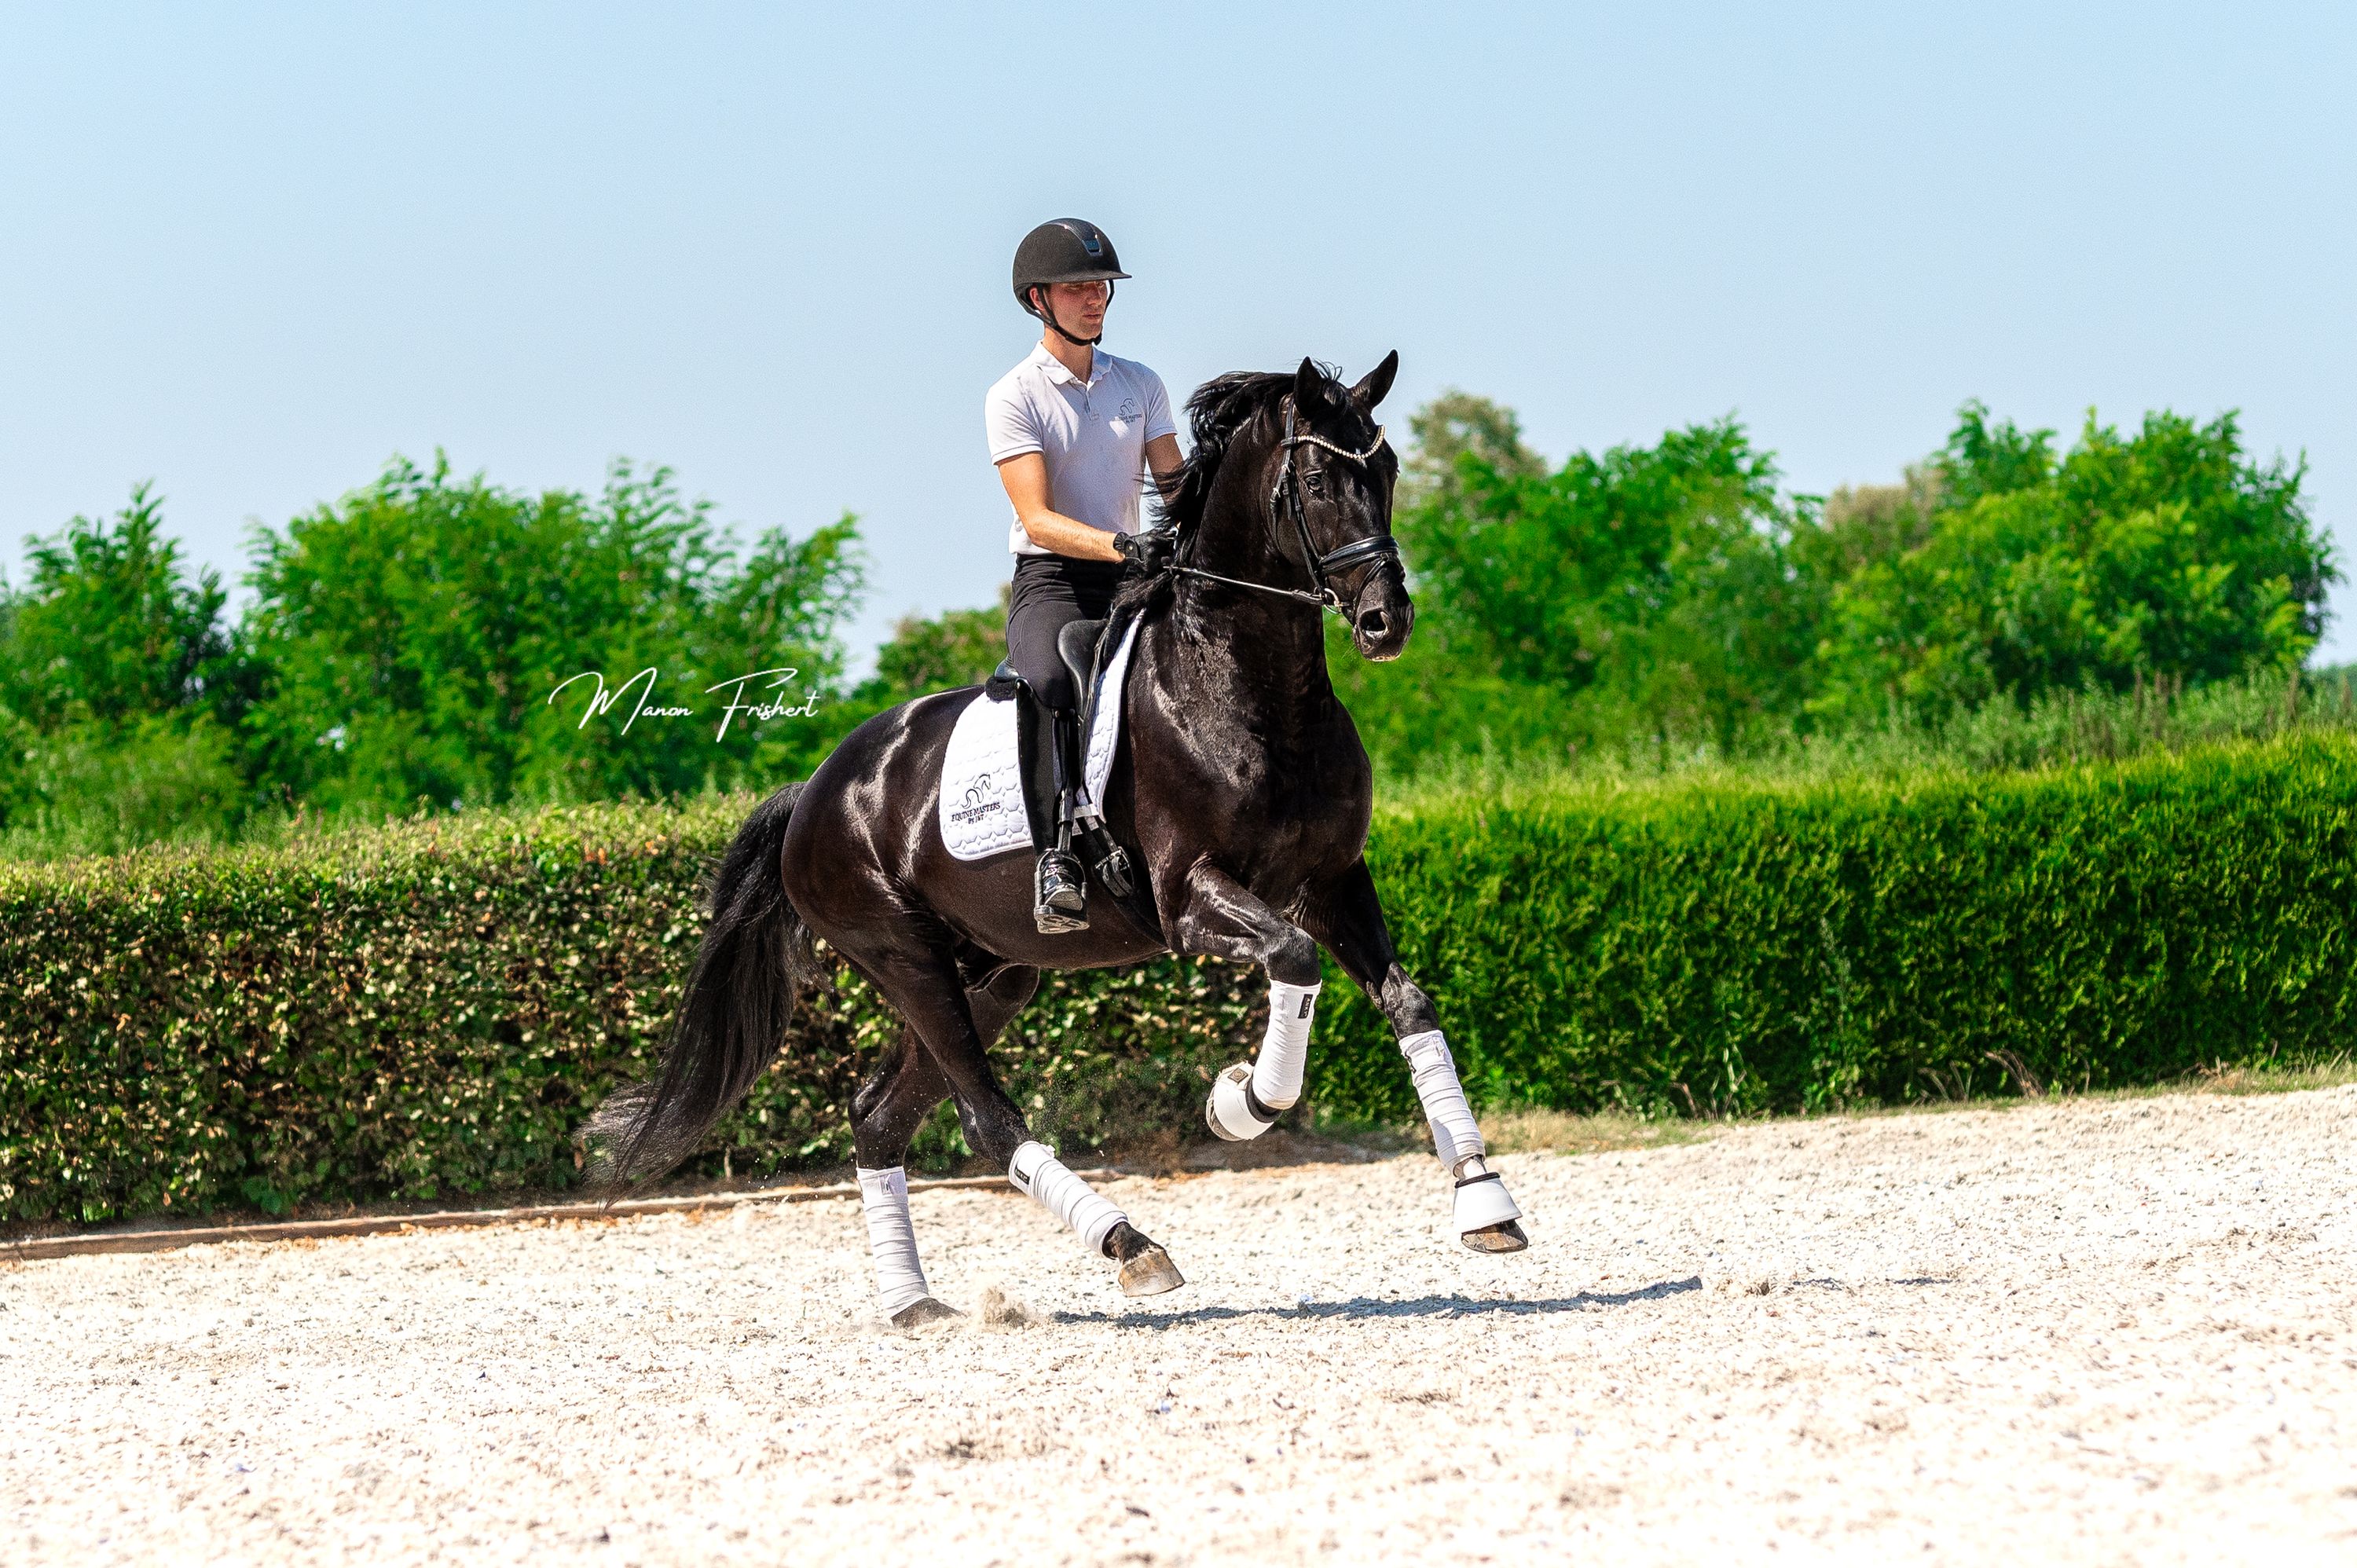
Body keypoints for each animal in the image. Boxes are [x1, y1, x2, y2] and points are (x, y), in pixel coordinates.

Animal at [585, 353, 1530, 1325]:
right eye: (1313, 483)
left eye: (1386, 473)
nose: (1387, 621)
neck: (1250, 690)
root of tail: (816, 790)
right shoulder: (1189, 897)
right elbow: (1294, 960)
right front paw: (1239, 1103)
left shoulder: (1335, 878)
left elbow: (1409, 1002)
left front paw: (1484, 1201)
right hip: (901, 953)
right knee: (984, 1115)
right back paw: (1132, 1246)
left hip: (990, 972)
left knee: (881, 1113)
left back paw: (915, 1304)